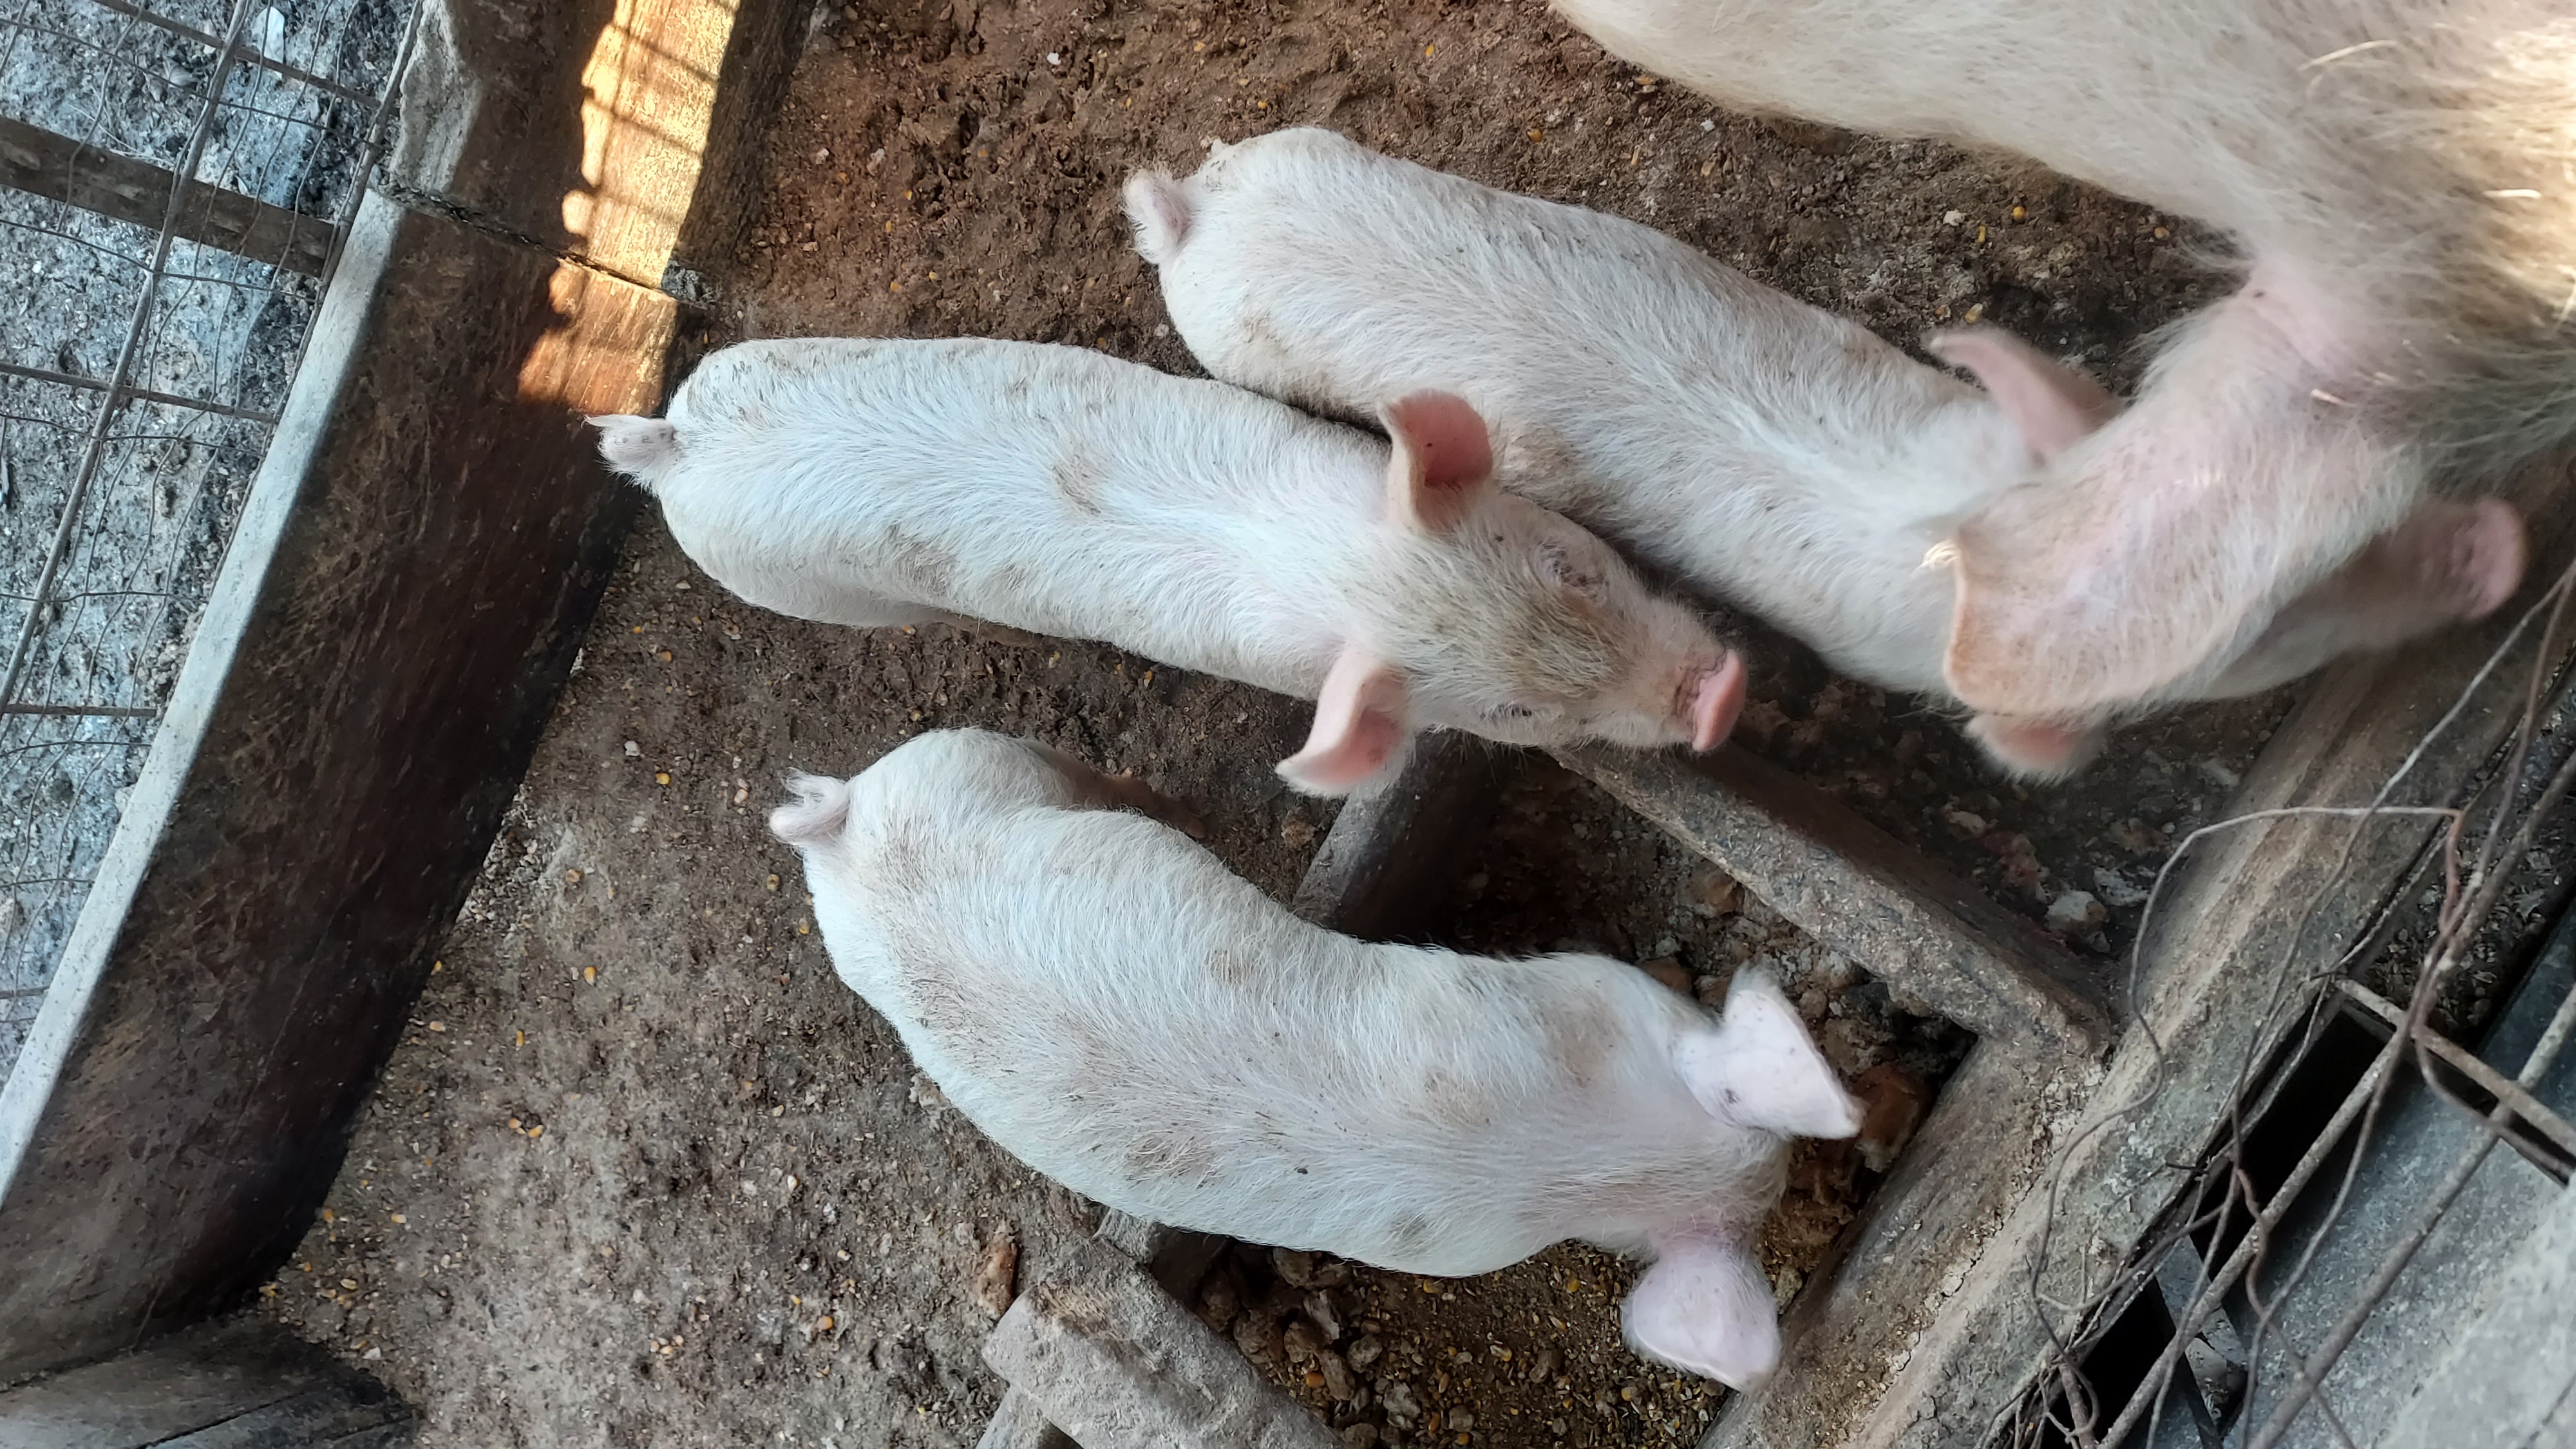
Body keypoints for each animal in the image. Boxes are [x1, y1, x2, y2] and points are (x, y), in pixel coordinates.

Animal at [588, 337, 1742, 795]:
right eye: (1514, 716)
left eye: (1571, 563)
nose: (1718, 695)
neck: (1317, 560)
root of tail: (677, 446)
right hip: (805, 589)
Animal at [771, 726, 1864, 1386]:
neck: (1591, 1148)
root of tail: (842, 834)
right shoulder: (1572, 990)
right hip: (981, 759)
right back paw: (1161, 799)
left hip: (891, 875)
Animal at [1123, 129, 2527, 776]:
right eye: (2270, 636)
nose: (2503, 542)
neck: (1951, 532)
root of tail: (1194, 213)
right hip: (1227, 337)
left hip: (1312, 153)